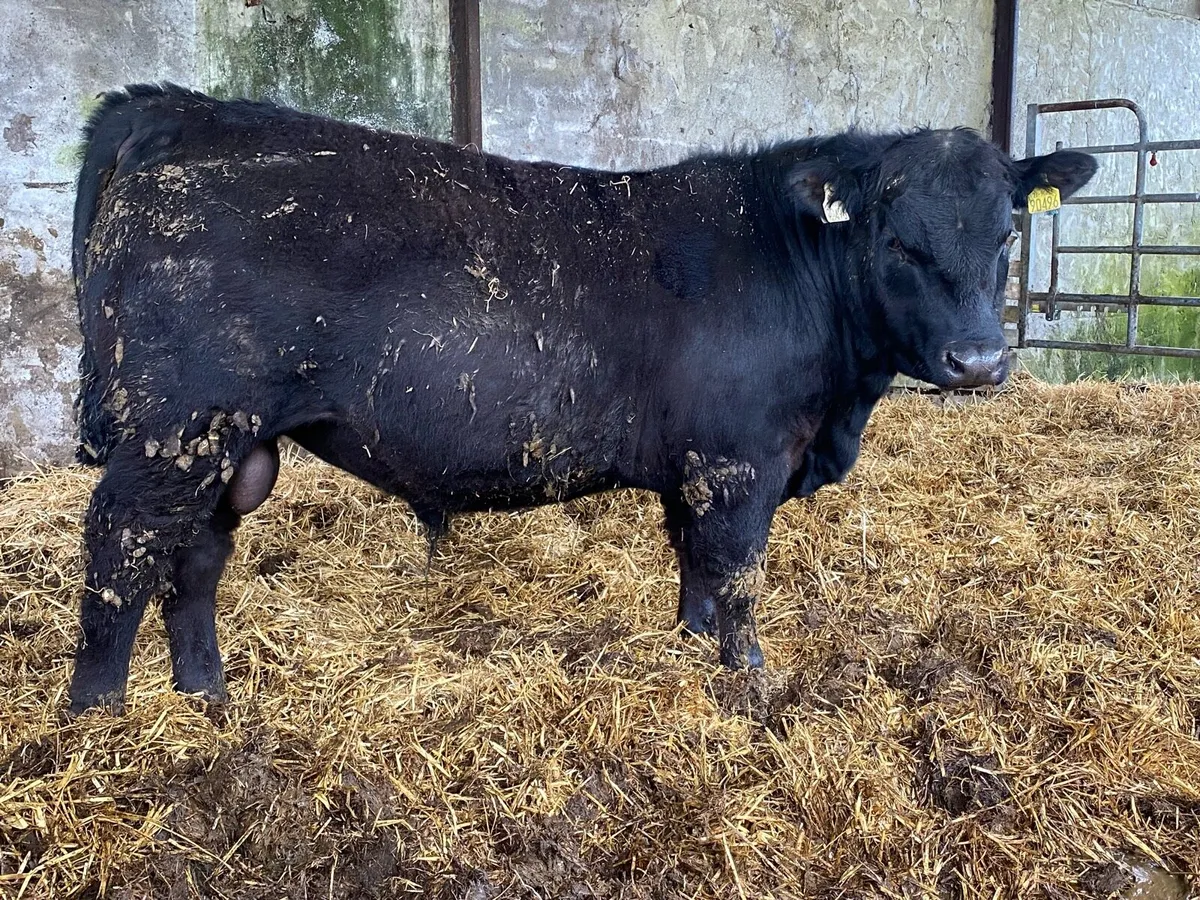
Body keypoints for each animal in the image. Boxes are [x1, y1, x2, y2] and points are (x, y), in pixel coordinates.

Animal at [67, 84, 1096, 712]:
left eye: (1008, 233)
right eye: (899, 242)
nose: (978, 360)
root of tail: (178, 108)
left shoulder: (694, 471)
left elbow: (695, 576)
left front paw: (687, 654)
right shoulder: (739, 464)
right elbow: (738, 580)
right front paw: (750, 686)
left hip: (224, 445)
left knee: (194, 562)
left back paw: (205, 697)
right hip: (176, 429)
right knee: (121, 550)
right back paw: (103, 718)